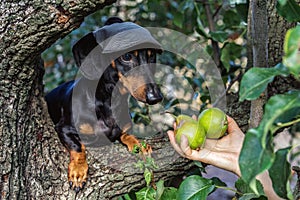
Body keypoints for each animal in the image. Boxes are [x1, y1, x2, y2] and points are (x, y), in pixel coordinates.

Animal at [44, 18, 163, 193]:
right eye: (127, 56)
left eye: (151, 55)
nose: (156, 97)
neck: (108, 102)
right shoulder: (64, 128)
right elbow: (78, 146)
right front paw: (78, 172)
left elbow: (126, 135)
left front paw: (139, 145)